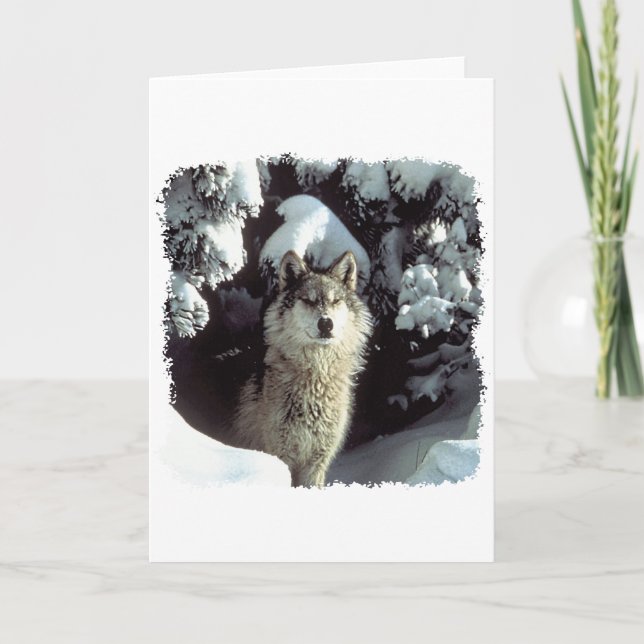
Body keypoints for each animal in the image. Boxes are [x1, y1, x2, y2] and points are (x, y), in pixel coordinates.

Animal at [234, 250, 372, 487]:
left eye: (335, 301)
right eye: (308, 300)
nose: (326, 323)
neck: (316, 377)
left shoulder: (316, 463)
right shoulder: (281, 456)